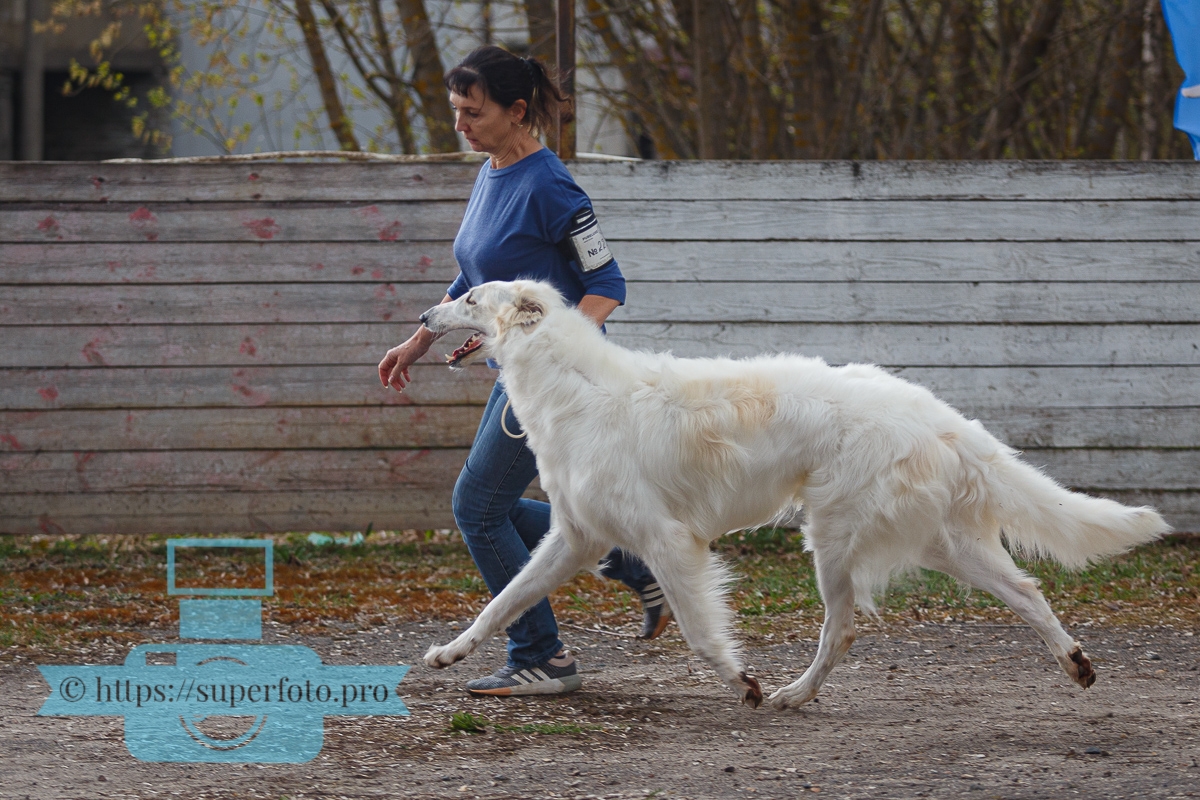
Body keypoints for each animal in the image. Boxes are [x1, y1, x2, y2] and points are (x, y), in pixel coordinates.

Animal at [417, 280, 1166, 705]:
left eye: (470, 297)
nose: (424, 315)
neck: (572, 382)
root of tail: (937, 413)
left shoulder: (668, 541)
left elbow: (699, 632)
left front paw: (739, 680)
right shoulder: (576, 537)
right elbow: (502, 601)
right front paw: (449, 653)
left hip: (835, 540)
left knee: (841, 631)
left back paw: (789, 694)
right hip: (935, 542)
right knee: (1027, 591)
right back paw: (1075, 663)